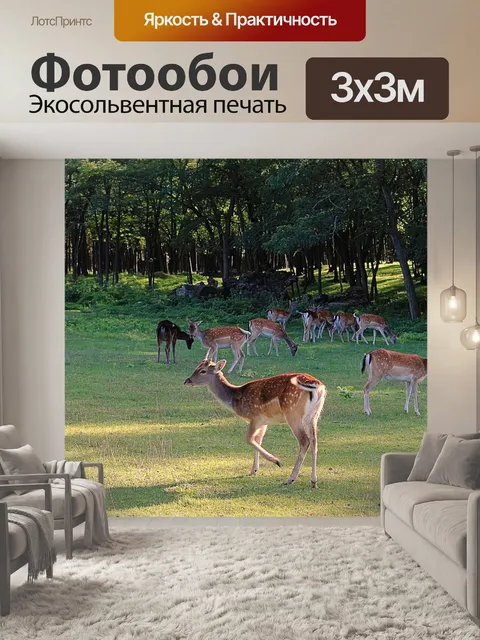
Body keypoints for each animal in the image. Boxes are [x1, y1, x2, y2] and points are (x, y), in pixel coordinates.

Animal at [184, 359, 327, 487]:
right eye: (196, 367)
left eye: (202, 371)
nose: (187, 381)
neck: (236, 400)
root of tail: (319, 386)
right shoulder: (264, 422)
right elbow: (258, 440)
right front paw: (254, 470)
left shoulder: (255, 417)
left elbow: (249, 439)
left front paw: (276, 461)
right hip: (314, 416)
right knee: (314, 442)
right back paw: (313, 481)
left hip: (293, 413)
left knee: (304, 441)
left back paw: (290, 479)